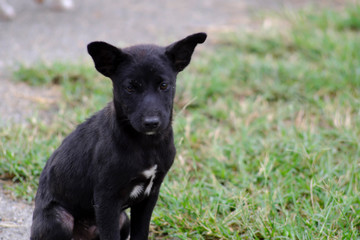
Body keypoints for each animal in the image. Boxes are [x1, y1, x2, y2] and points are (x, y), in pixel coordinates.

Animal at [30, 32, 207, 240]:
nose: (151, 122)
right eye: (130, 88)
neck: (146, 144)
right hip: (60, 219)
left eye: (164, 85)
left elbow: (141, 233)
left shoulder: (149, 195)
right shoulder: (106, 199)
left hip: (123, 220)